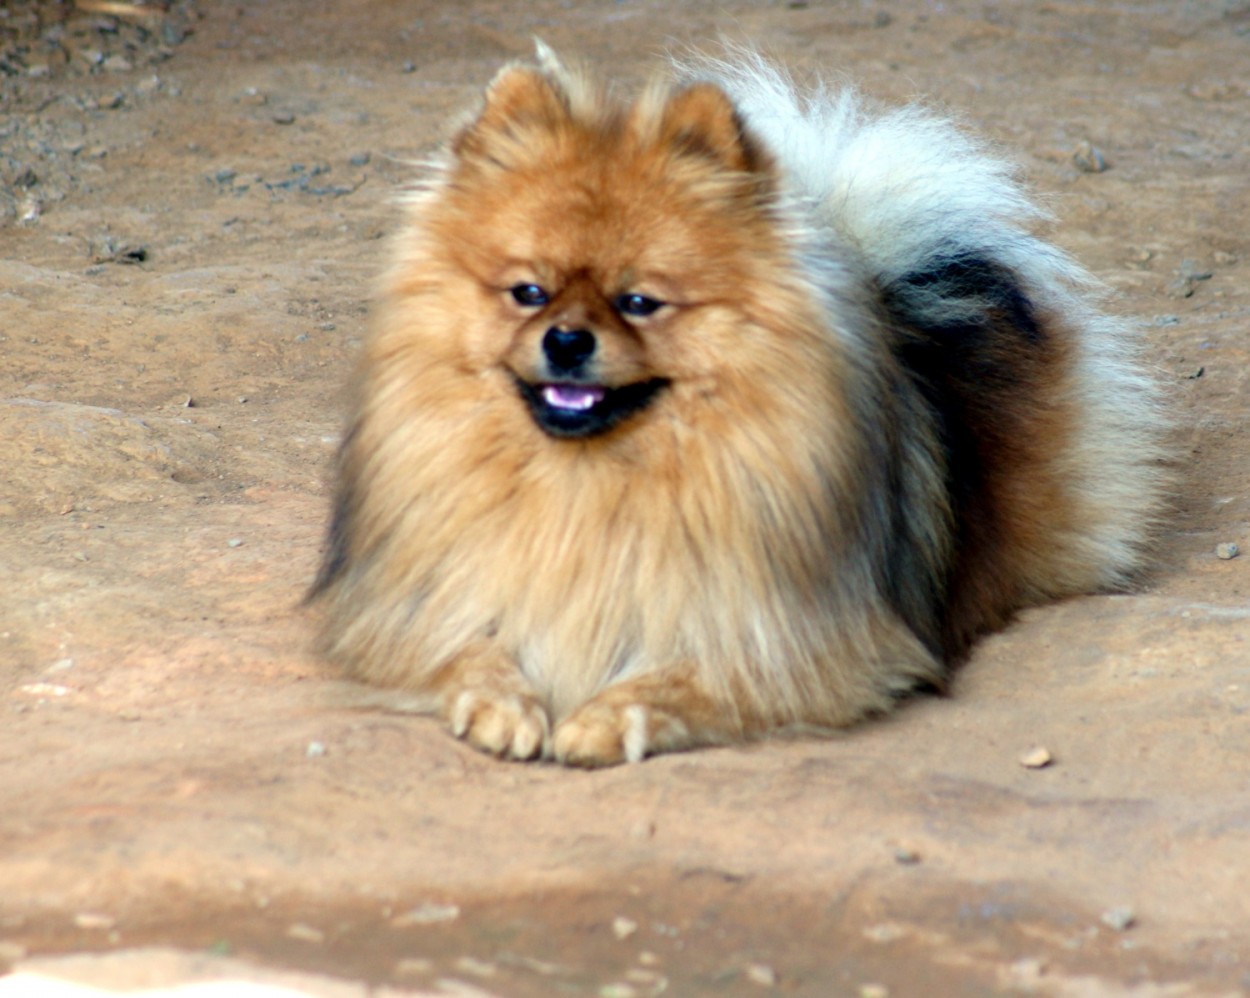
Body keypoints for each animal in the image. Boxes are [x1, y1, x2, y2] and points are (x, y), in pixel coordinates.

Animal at [310, 45, 1160, 765]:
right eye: (528, 291)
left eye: (640, 302)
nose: (566, 340)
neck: (589, 488)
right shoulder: (414, 606)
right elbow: (465, 650)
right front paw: (502, 702)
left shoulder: (793, 644)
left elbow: (682, 679)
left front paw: (605, 717)